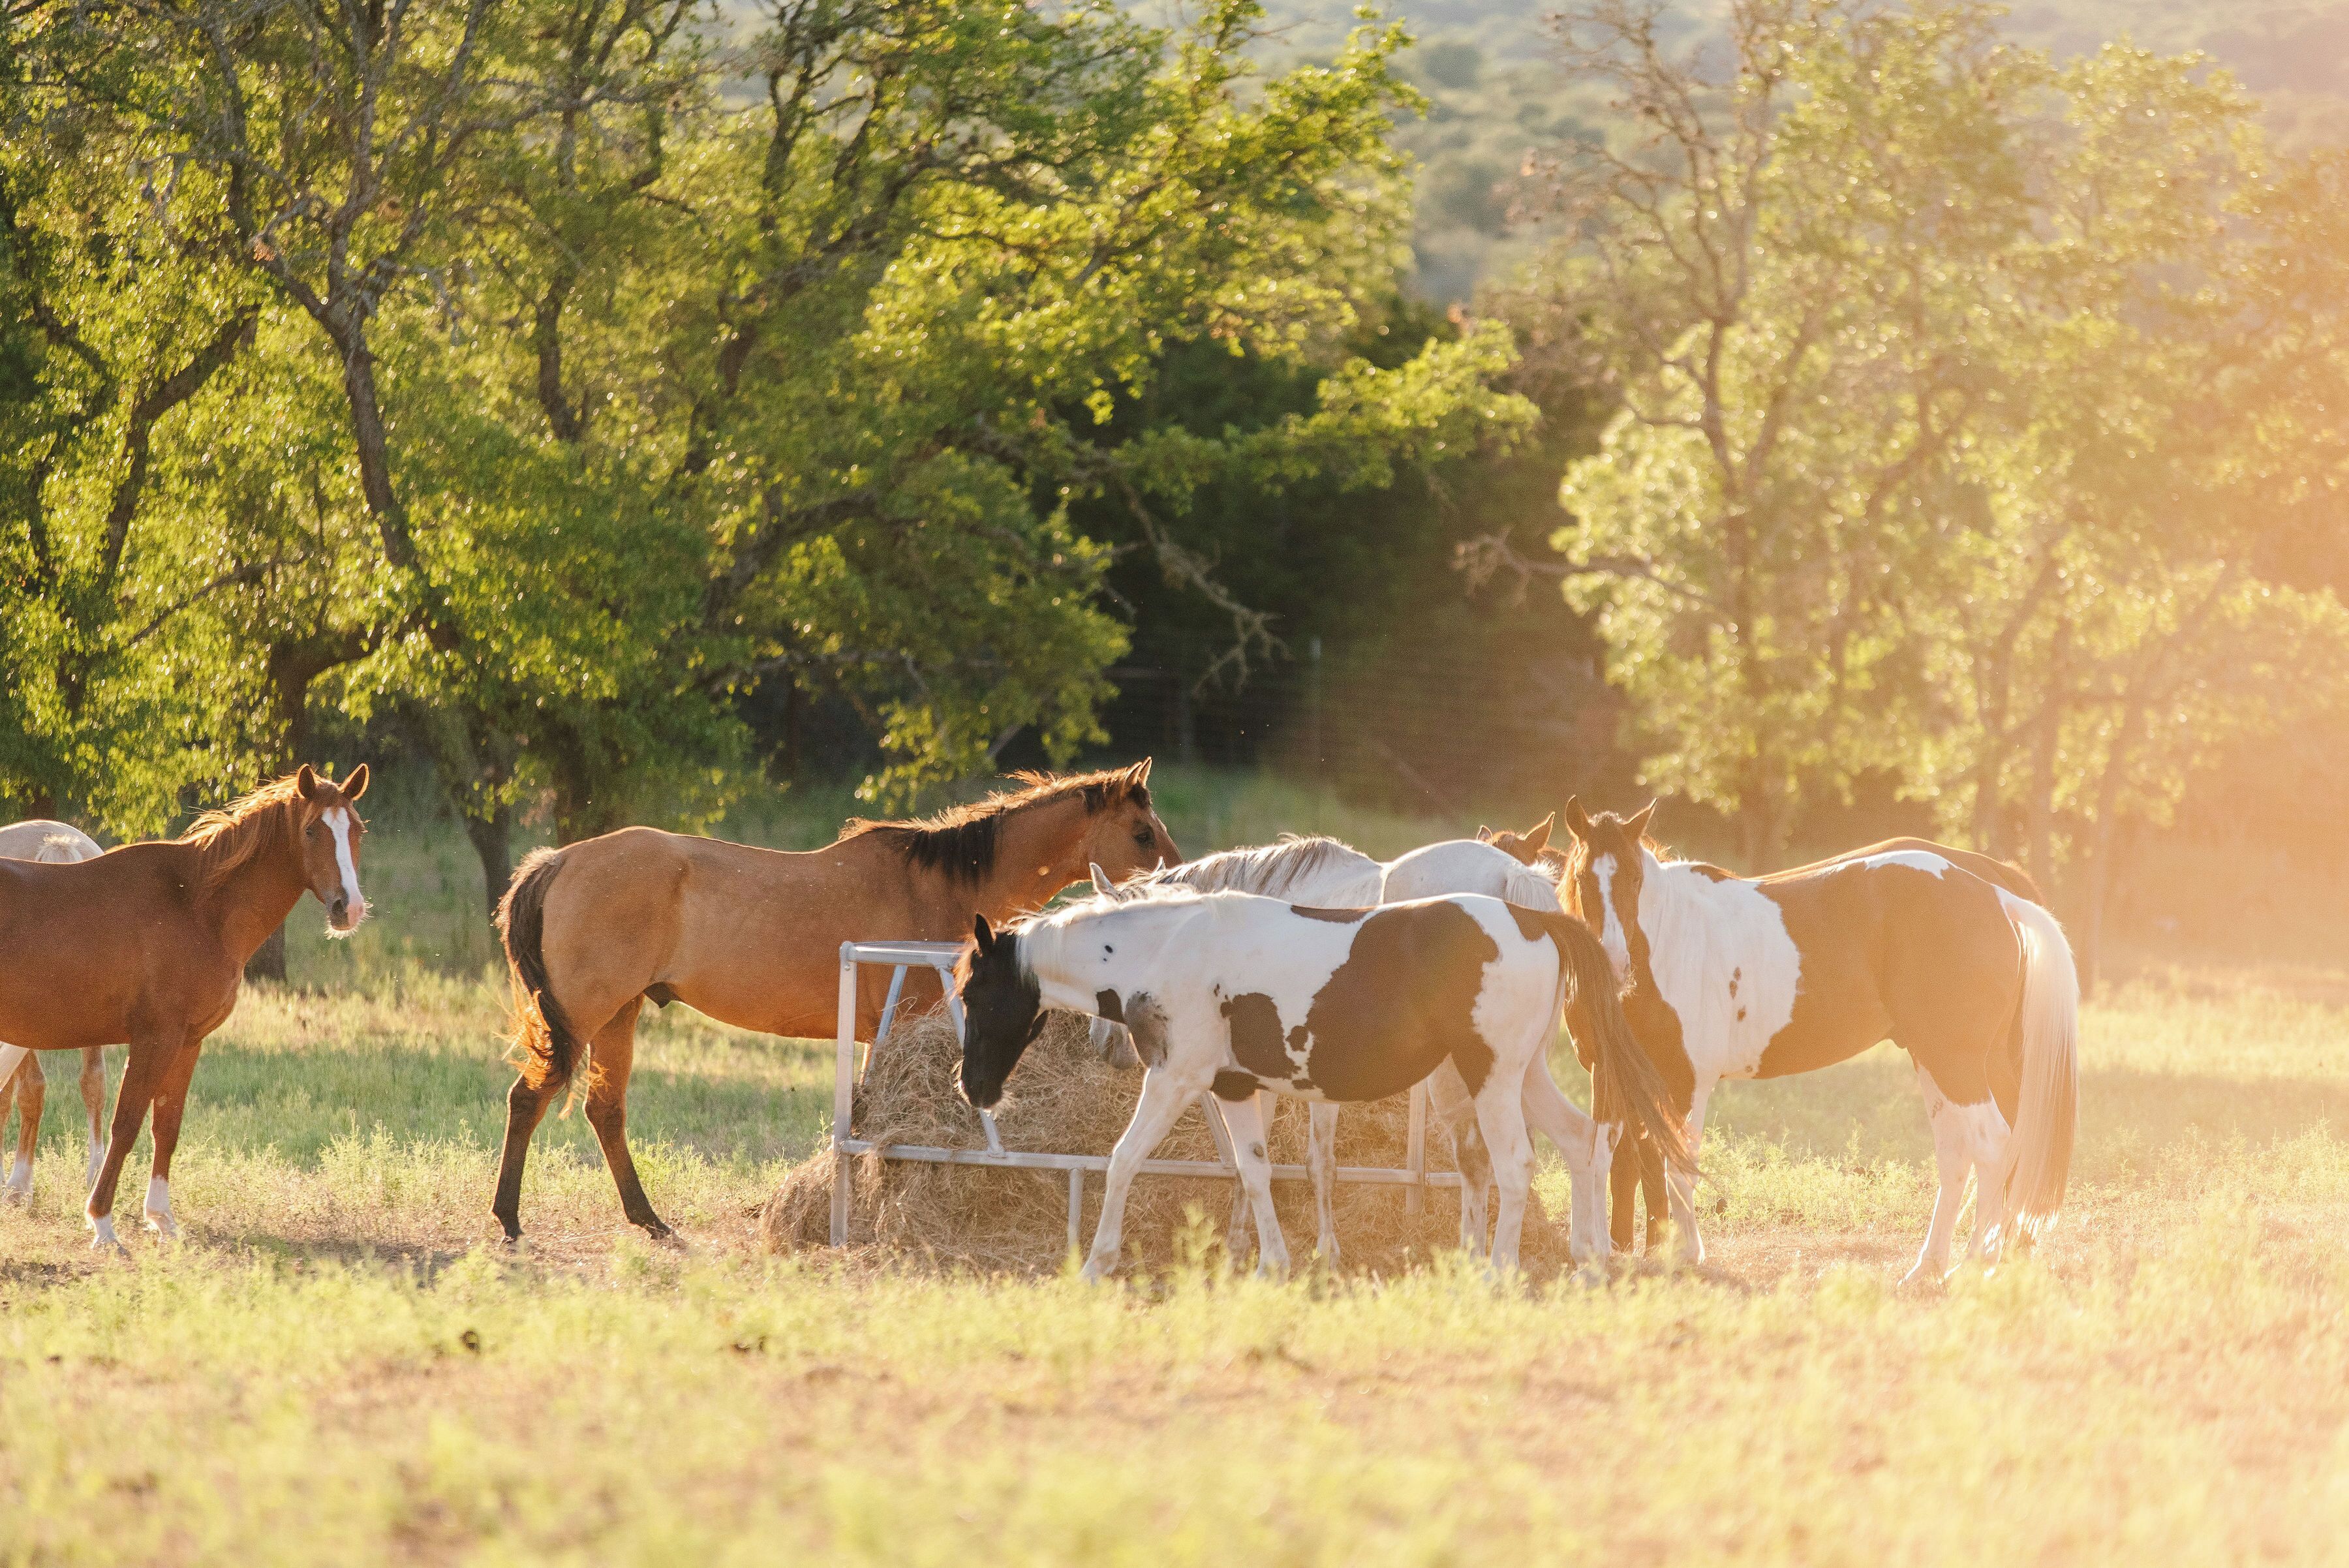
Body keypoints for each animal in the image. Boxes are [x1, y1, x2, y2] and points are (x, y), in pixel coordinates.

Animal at [491, 761, 1181, 1243]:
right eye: (1142, 832)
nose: (1177, 882)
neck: (945, 884)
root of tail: (557, 861)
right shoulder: (900, 1023)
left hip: (619, 1015)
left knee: (604, 1111)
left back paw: (649, 1219)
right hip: (589, 1013)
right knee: (528, 1100)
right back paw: (509, 1218)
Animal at [957, 889, 1689, 1280]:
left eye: (972, 991)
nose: (974, 1089)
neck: (1166, 951)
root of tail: (1532, 919)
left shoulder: (1175, 1079)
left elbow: (1122, 1160)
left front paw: (1095, 1263)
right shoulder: (1235, 1089)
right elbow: (1255, 1171)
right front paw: (1271, 1264)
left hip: (1493, 1078)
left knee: (1516, 1167)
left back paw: (1497, 1271)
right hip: (1524, 1074)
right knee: (1582, 1141)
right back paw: (1588, 1257)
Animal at [1559, 800, 2078, 1284]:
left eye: (1633, 878)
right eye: (1584, 877)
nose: (1615, 964)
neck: (1670, 939)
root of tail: (1998, 896)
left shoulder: (1688, 1081)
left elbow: (1677, 1167)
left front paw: (1685, 1255)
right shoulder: (1610, 1074)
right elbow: (1605, 1157)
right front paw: (1611, 1256)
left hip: (1957, 1065)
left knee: (1993, 1147)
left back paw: (1973, 1266)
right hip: (1937, 1061)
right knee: (1958, 1155)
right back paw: (1928, 1267)